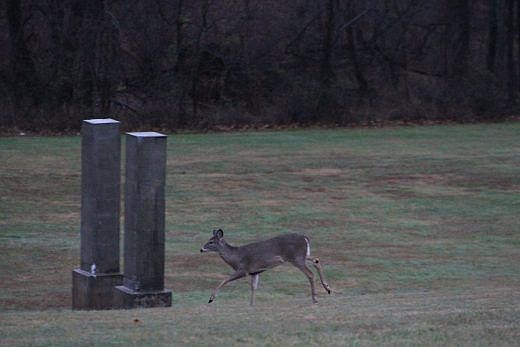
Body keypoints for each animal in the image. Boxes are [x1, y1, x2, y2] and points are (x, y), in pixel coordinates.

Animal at [199, 230, 330, 306]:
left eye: (211, 242)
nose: (201, 249)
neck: (235, 257)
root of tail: (305, 238)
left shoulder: (243, 269)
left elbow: (225, 279)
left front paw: (211, 298)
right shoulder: (255, 272)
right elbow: (253, 287)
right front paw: (251, 305)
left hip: (296, 258)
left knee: (310, 274)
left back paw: (315, 299)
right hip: (303, 256)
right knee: (316, 260)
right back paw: (327, 288)